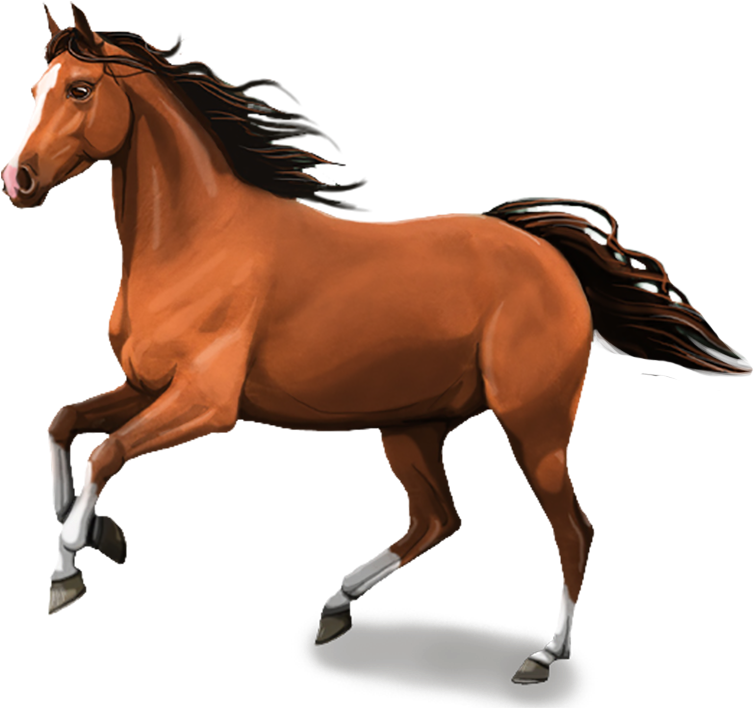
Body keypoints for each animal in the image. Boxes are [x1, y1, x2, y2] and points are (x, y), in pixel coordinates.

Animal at [5, 4, 749, 684]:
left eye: (80, 89)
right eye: (37, 88)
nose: (18, 181)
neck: (197, 239)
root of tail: (549, 256)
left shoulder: (205, 404)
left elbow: (106, 453)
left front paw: (67, 571)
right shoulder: (144, 386)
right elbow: (65, 423)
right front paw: (101, 536)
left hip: (532, 425)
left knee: (573, 529)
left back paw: (543, 657)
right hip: (413, 427)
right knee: (437, 520)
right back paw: (336, 607)